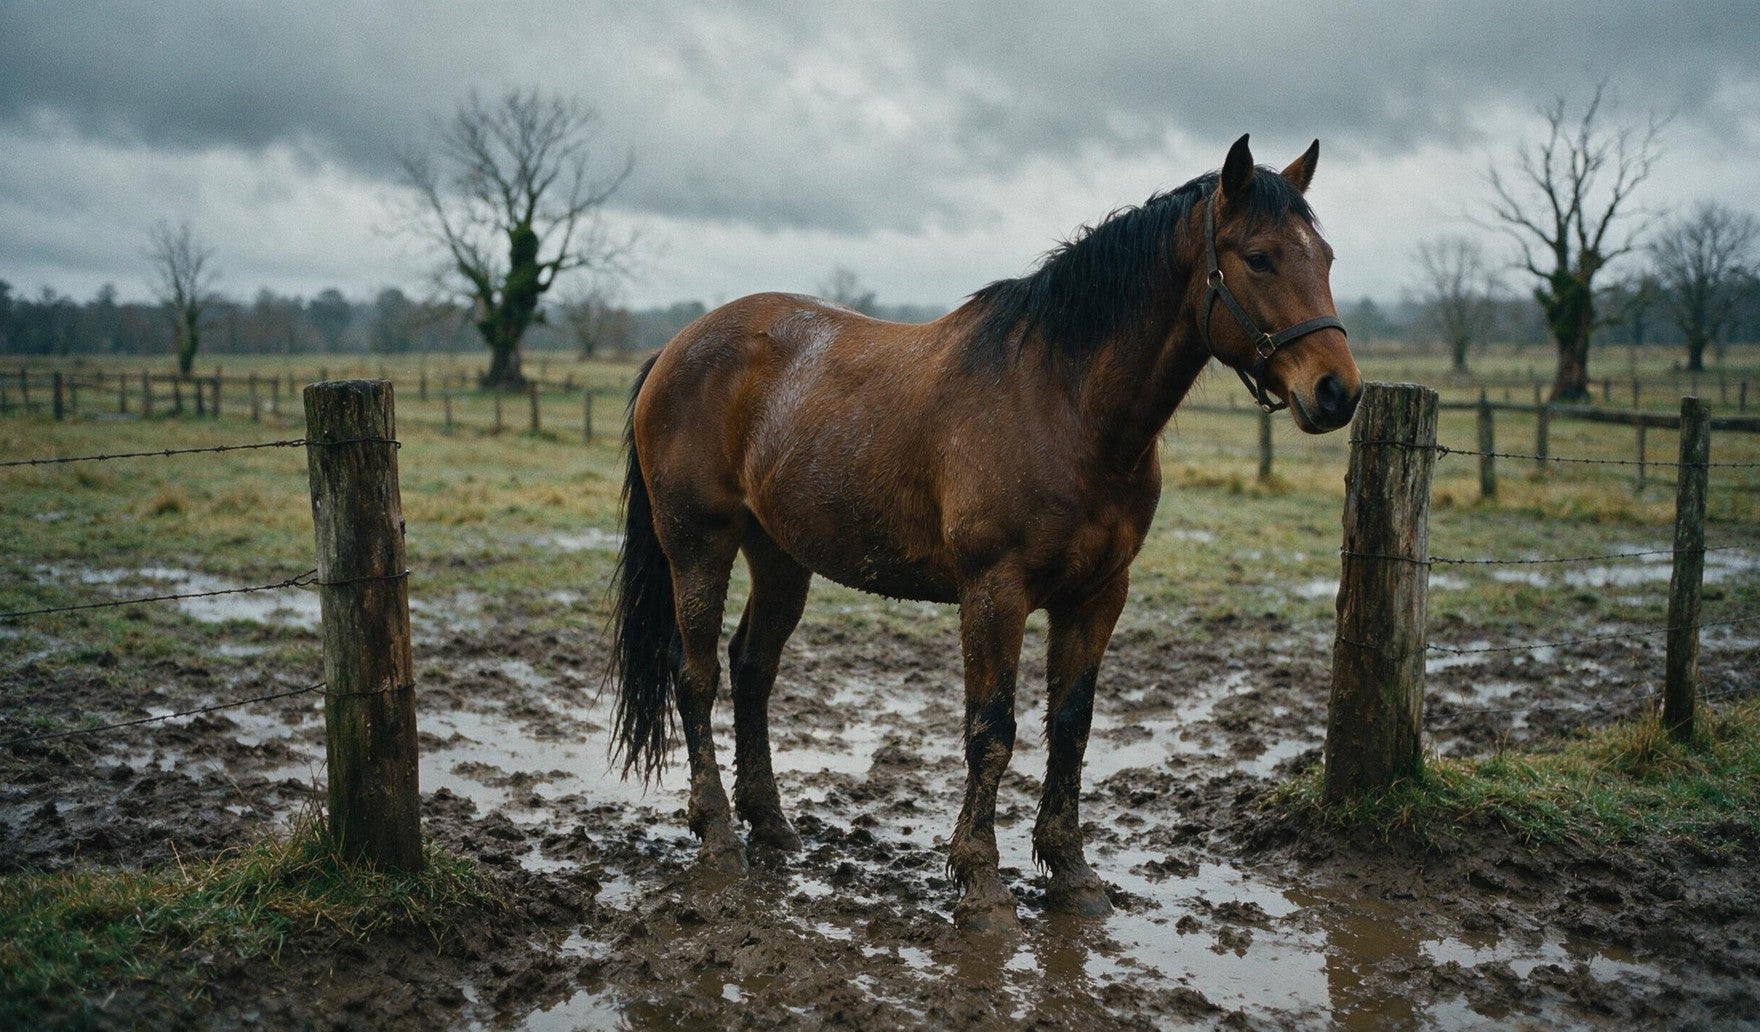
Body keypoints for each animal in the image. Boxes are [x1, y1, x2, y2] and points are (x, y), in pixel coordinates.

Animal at [608, 134, 1361, 932]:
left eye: (1326, 257)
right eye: (1260, 258)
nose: (1338, 392)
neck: (1064, 404)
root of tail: (676, 349)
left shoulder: (1098, 596)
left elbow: (1071, 727)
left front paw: (1072, 872)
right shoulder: (994, 593)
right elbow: (992, 730)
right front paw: (981, 882)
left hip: (780, 555)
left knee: (752, 669)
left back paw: (772, 824)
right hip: (698, 545)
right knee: (696, 677)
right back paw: (719, 830)